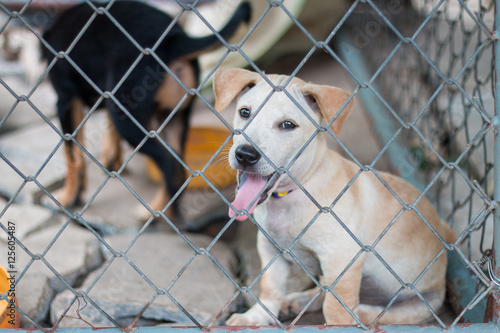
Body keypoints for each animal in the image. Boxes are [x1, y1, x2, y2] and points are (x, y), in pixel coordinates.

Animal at [42, 1, 250, 219]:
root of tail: (173, 39)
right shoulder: (110, 96)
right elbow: (108, 134)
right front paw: (112, 160)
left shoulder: (66, 101)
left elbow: (72, 155)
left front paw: (67, 197)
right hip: (172, 117)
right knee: (178, 169)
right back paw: (170, 210)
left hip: (130, 121)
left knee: (168, 163)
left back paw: (154, 212)